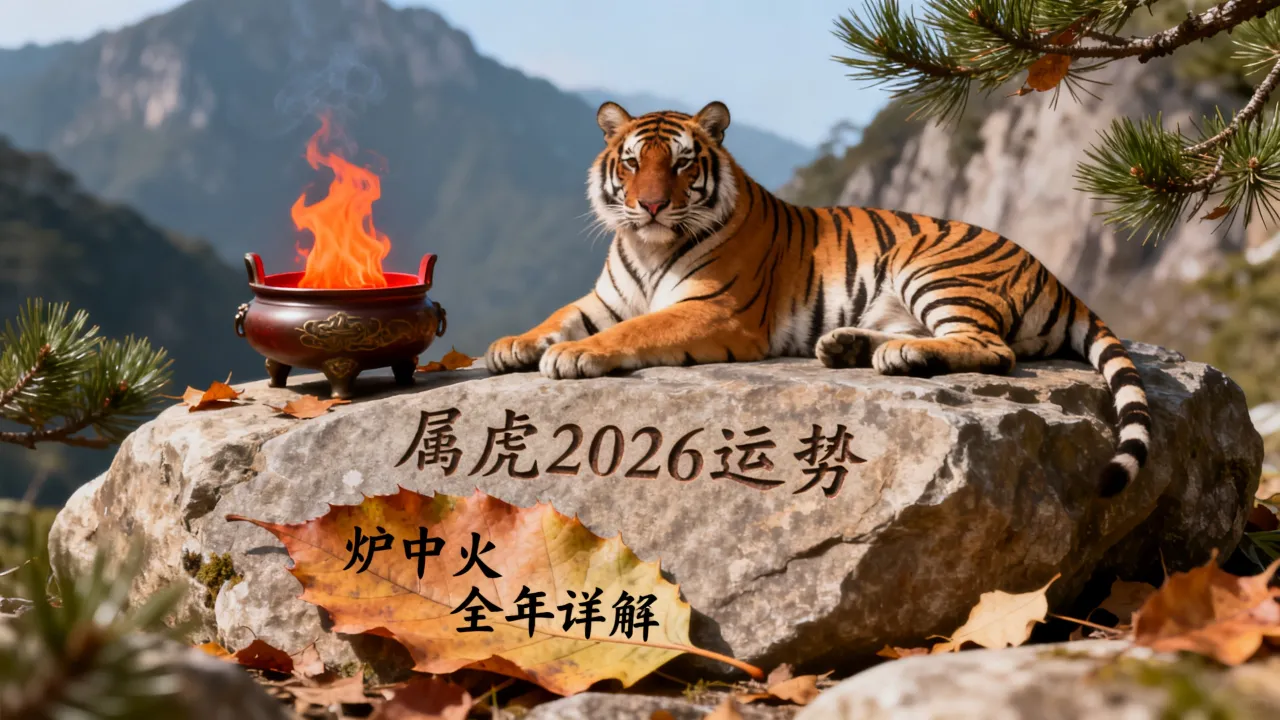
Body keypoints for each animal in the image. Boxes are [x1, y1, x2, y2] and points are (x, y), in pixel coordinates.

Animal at [484, 100, 1151, 497]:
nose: (648, 205)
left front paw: (575, 356)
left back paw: (897, 358)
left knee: (991, 348)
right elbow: (561, 317)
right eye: (629, 164)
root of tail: (1055, 275)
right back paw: (851, 346)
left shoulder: (714, 309)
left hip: (931, 268)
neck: (647, 247)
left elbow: (633, 331)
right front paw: (511, 345)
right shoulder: (608, 297)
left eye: (680, 164)